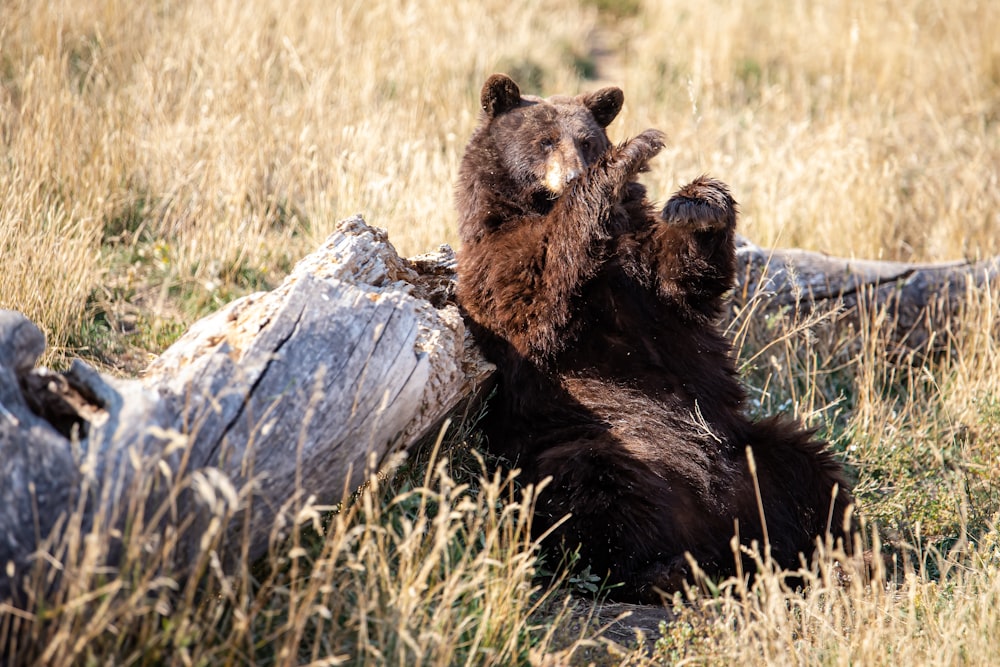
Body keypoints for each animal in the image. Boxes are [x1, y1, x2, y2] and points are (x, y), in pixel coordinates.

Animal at [454, 74, 852, 604]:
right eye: (544, 141)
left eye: (586, 140)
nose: (574, 175)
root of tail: (716, 528)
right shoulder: (499, 264)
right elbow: (537, 293)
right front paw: (632, 152)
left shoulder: (636, 269)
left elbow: (679, 279)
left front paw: (700, 202)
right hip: (594, 444)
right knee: (591, 489)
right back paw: (661, 571)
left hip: (748, 451)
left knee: (807, 473)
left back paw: (838, 555)